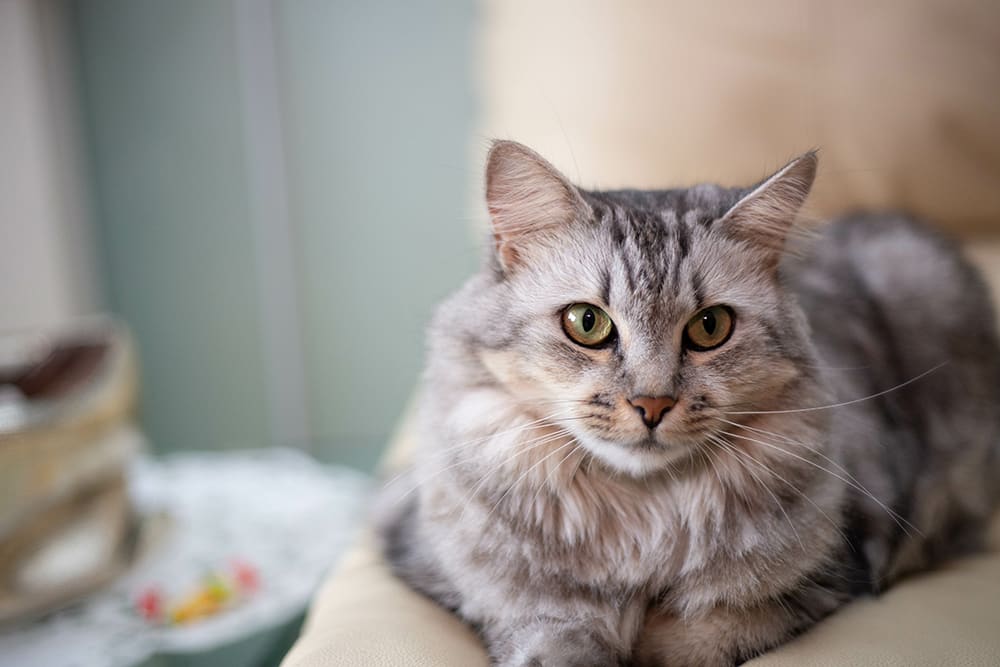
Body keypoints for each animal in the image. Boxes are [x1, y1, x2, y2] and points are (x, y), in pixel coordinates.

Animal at [376, 138, 1000, 664]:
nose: (652, 405)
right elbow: (554, 644)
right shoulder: (490, 595)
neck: (639, 519)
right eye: (586, 323)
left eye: (709, 327)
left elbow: (694, 640)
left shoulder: (826, 575)